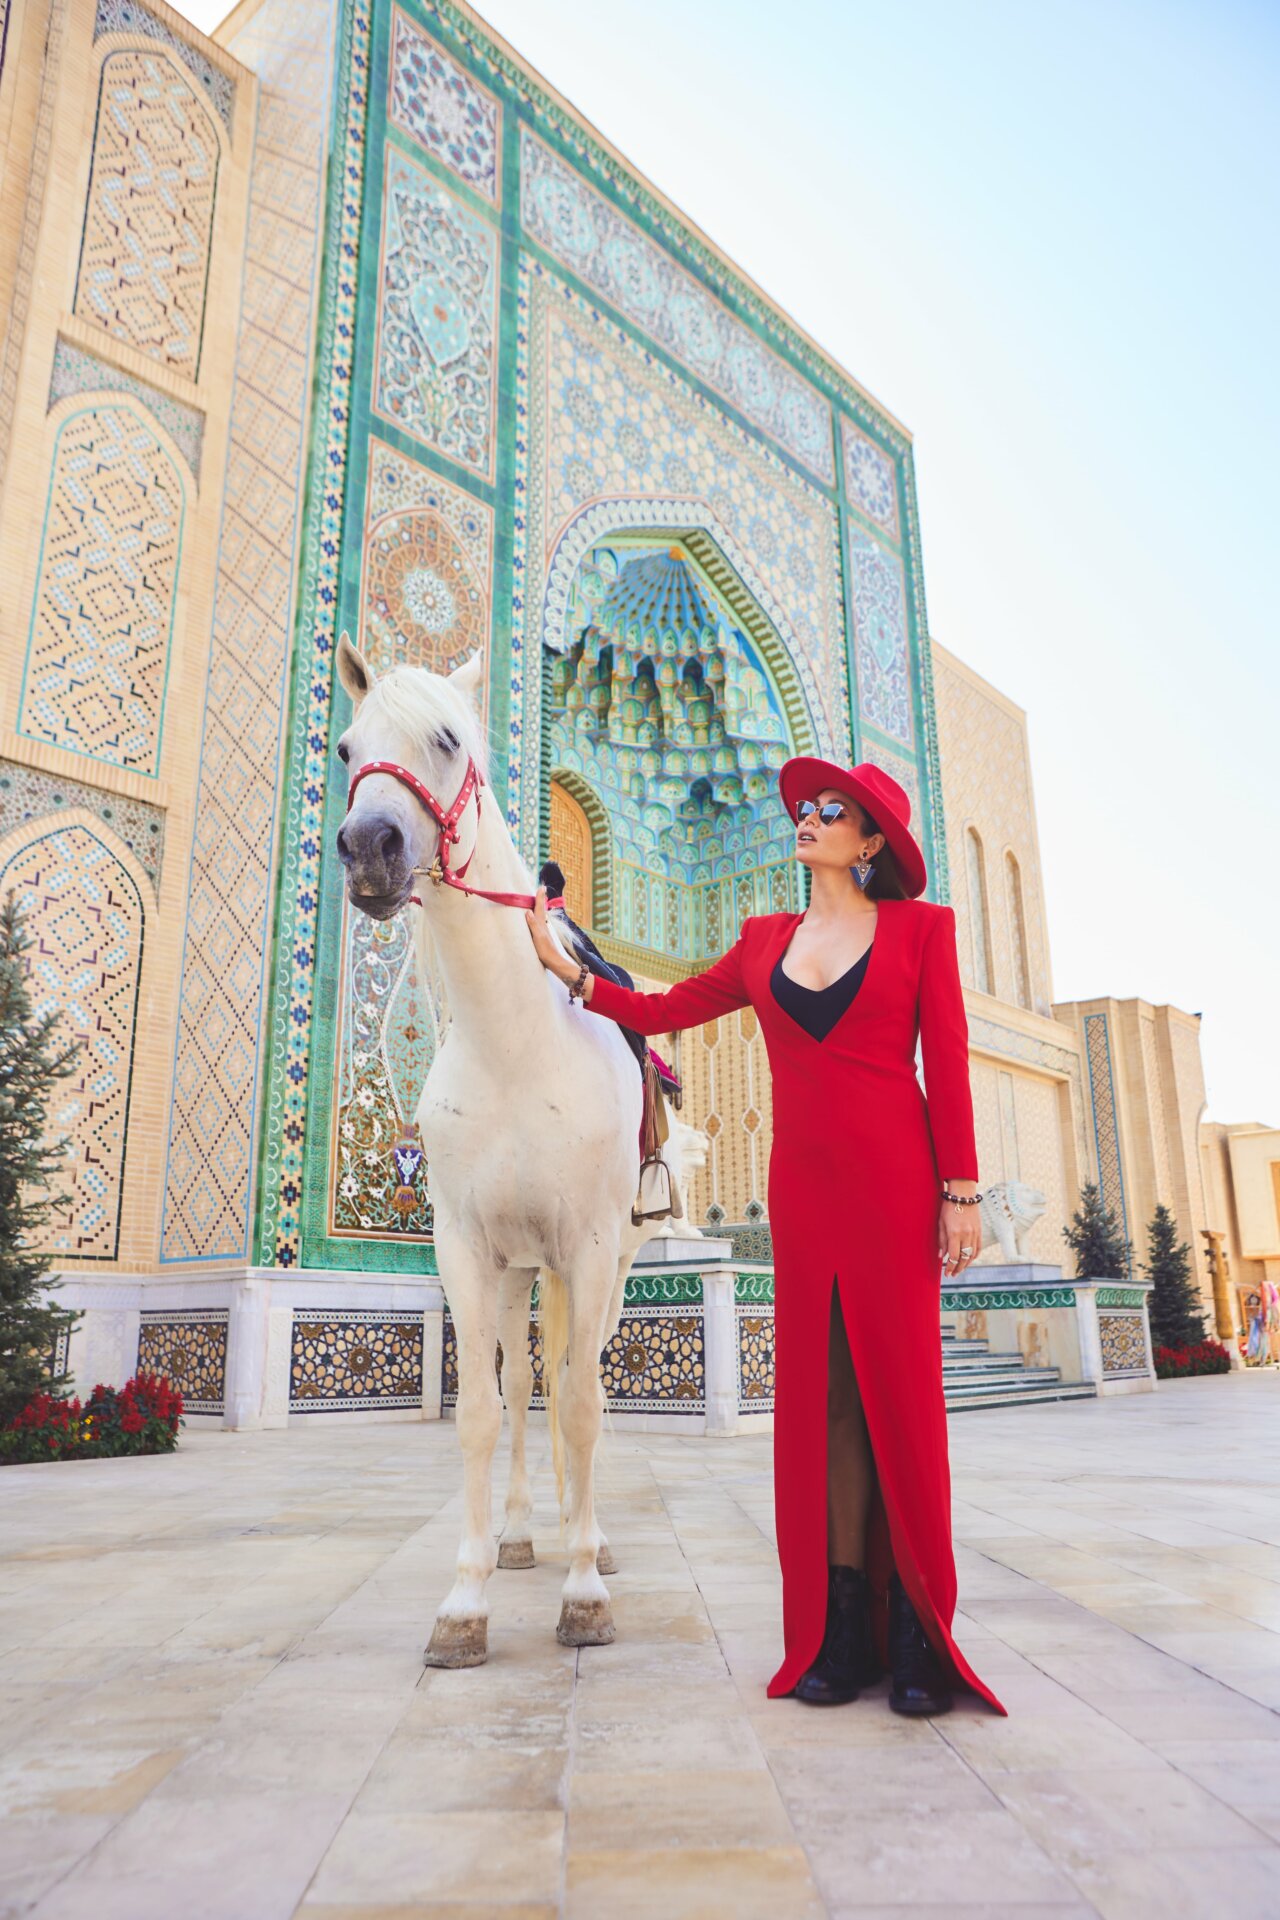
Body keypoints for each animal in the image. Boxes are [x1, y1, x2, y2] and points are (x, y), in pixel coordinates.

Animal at [333, 633, 682, 1666]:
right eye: (345, 748)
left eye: (449, 737)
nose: (371, 848)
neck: (516, 1041)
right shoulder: (466, 1246)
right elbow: (489, 1409)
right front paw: (467, 1598)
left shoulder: (593, 1245)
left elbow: (585, 1400)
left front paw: (586, 1589)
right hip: (528, 1265)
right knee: (533, 1382)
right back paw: (532, 1532)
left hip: (605, 1260)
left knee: (581, 1375)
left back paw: (586, 1537)